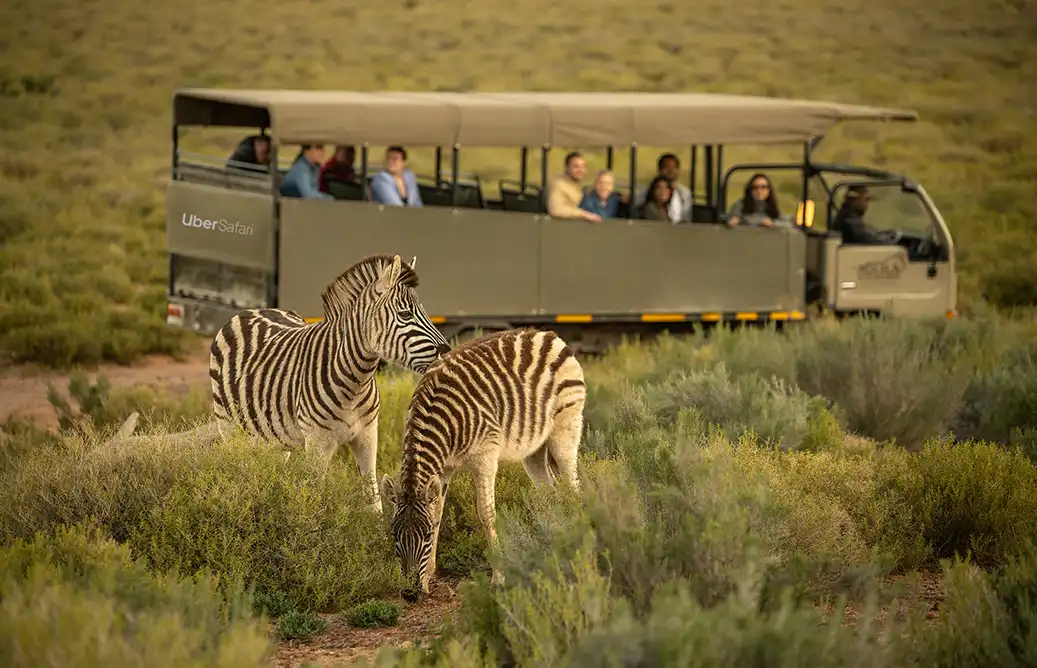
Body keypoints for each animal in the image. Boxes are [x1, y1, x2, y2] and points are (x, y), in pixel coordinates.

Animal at [208, 253, 452, 514]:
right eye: (406, 315)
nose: (448, 353)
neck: (356, 382)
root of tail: (250, 310)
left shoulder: (368, 435)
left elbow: (373, 500)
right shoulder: (317, 443)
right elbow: (315, 499)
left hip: (274, 437)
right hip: (229, 426)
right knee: (239, 469)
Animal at [379, 325, 584, 601]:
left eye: (426, 536)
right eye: (394, 535)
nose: (410, 594)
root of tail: (548, 334)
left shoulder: (484, 456)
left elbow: (486, 513)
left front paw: (498, 578)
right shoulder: (444, 467)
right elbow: (438, 512)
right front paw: (430, 574)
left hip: (566, 426)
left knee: (573, 487)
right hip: (535, 449)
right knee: (549, 491)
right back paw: (554, 540)